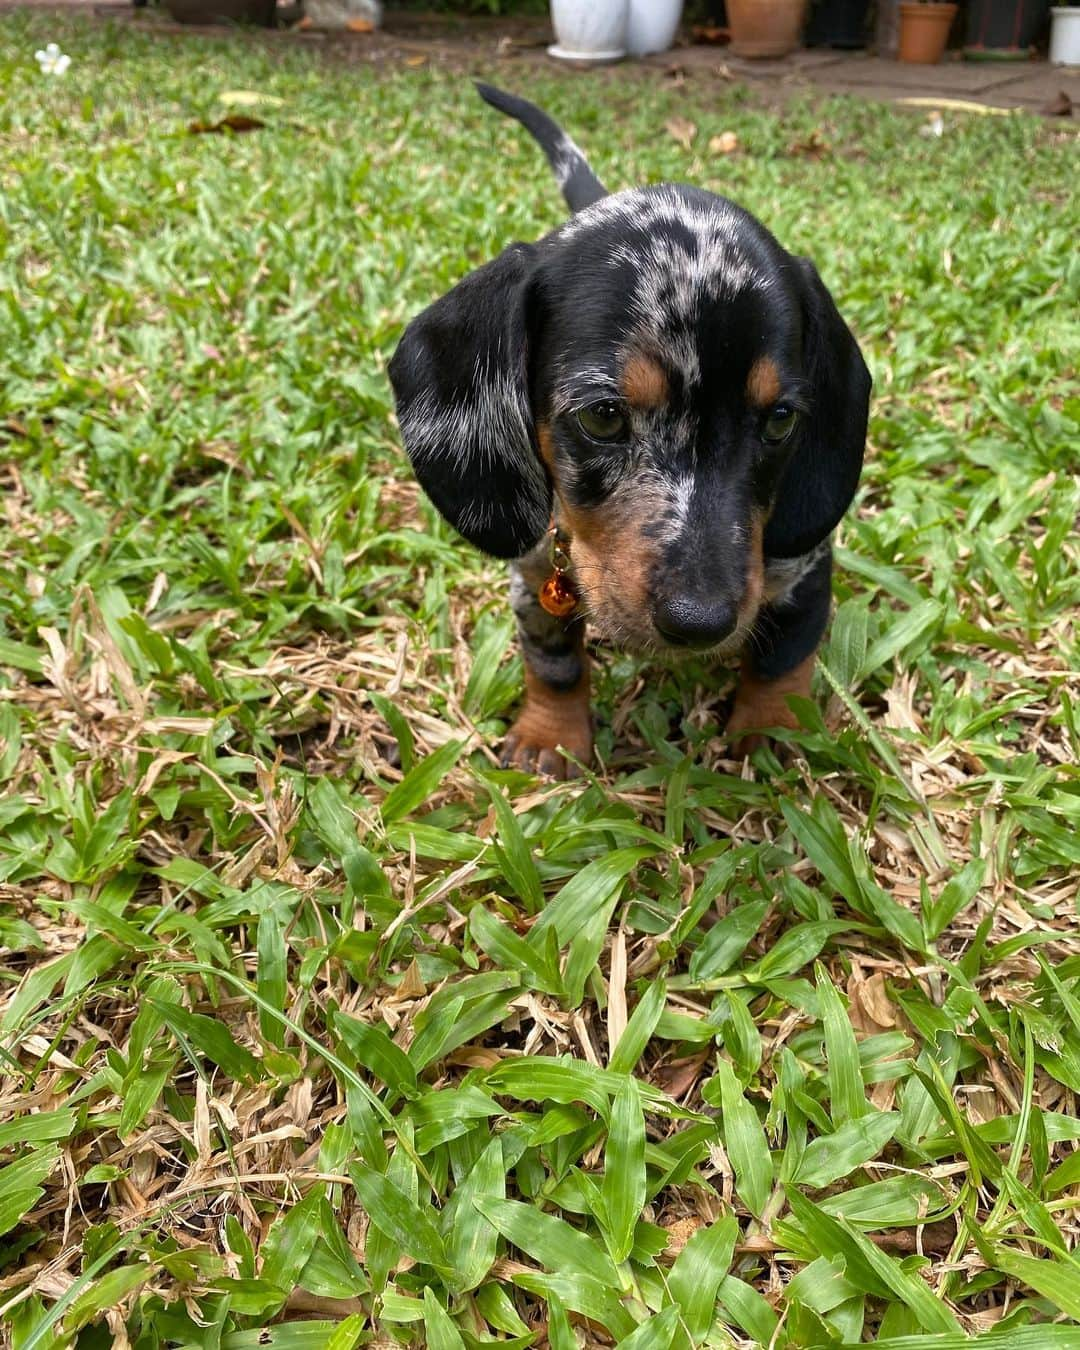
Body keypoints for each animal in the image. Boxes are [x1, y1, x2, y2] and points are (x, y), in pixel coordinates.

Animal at [388, 84, 869, 783]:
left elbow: (784, 658)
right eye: (602, 417)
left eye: (781, 421)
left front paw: (774, 732)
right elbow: (554, 664)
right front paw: (550, 737)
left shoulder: (801, 566)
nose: (701, 623)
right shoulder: (534, 576)